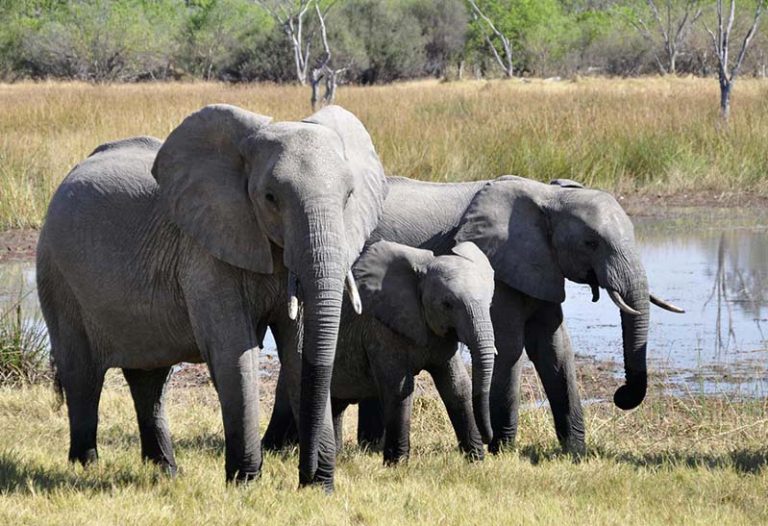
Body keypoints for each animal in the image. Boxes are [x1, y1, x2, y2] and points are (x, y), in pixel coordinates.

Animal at [36, 104, 387, 491]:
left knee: (150, 379)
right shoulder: (204, 251)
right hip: (56, 274)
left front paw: (317, 487)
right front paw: (245, 483)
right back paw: (85, 467)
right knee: (82, 374)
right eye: (270, 198)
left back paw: (166, 471)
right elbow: (234, 352)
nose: (309, 477)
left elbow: (297, 352)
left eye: (349, 196)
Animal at [330, 240, 496, 464]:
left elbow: (457, 386)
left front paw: (476, 461)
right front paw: (397, 464)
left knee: (336, 404)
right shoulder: (381, 328)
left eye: (490, 303)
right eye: (447, 304)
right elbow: (399, 388)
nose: (488, 438)